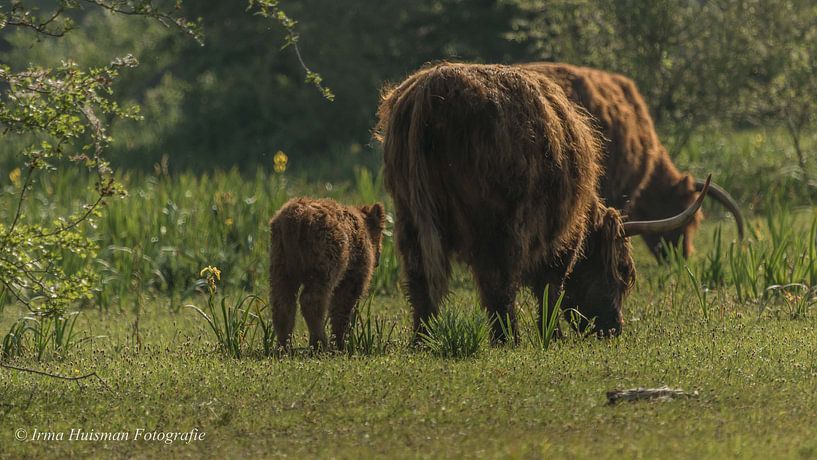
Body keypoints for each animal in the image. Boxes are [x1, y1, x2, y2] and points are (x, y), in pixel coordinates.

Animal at [266, 196, 384, 350]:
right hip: (324, 254)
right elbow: (344, 300)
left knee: (282, 299)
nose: (378, 260)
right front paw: (341, 341)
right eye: (381, 234)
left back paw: (283, 344)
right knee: (313, 297)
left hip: (281, 258)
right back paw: (320, 341)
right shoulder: (354, 267)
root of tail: (295, 220)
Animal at [376, 62, 708, 342]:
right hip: (495, 223)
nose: (613, 328)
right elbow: (551, 288)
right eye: (622, 272)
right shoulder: (561, 238)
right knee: (496, 283)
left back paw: (422, 340)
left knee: (421, 281)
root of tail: (430, 90)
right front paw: (553, 336)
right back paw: (507, 339)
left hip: (410, 217)